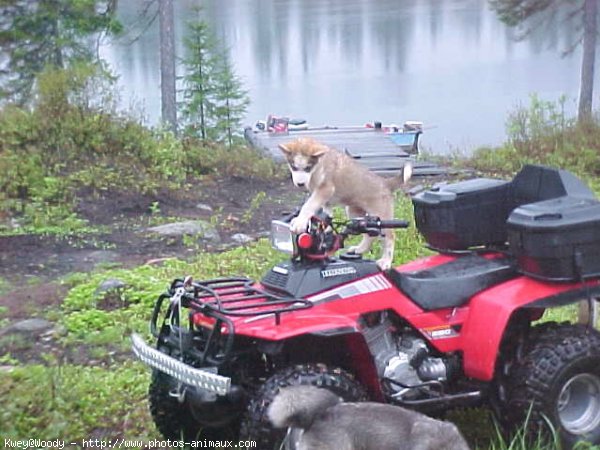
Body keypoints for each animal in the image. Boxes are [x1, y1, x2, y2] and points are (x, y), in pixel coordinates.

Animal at [278, 137, 410, 268]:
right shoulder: (324, 197)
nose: (300, 184)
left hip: (382, 217)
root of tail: (386, 183)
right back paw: (359, 249)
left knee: (390, 237)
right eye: (293, 167)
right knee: (369, 234)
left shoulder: (325, 189)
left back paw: (386, 261)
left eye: (307, 168)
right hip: (355, 213)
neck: (319, 166)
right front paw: (325, 227)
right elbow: (326, 211)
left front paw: (300, 222)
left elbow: (309, 205)